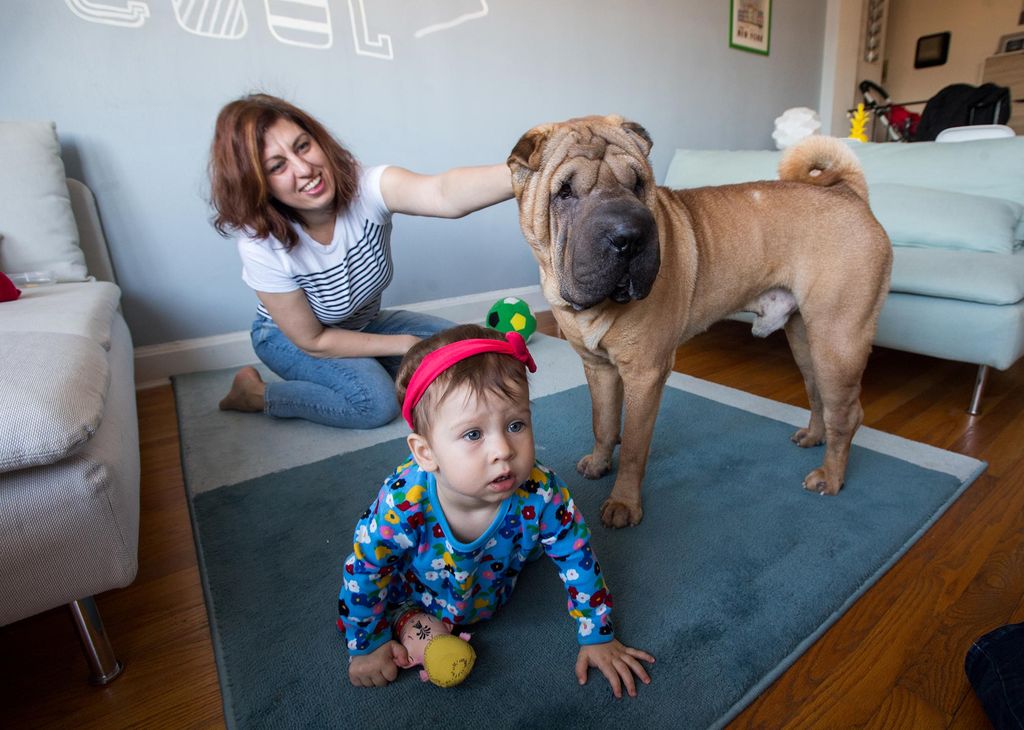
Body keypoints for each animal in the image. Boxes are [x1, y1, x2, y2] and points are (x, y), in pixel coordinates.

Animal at [507, 113, 892, 528]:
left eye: (638, 184)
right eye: (564, 192)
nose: (628, 236)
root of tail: (849, 194)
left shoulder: (645, 374)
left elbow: (634, 446)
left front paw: (624, 503)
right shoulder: (599, 368)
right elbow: (604, 423)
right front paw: (598, 464)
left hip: (838, 340)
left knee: (847, 413)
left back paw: (830, 477)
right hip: (807, 341)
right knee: (818, 394)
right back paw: (812, 437)